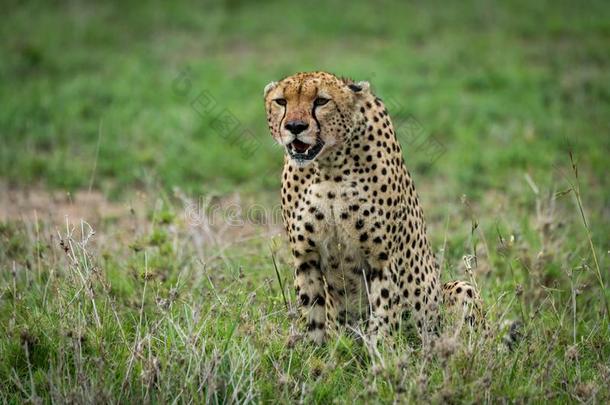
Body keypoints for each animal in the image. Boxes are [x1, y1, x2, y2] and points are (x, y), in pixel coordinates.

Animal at [264, 71, 482, 342]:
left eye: (321, 101)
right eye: (281, 101)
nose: (295, 127)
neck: (328, 166)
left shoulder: (382, 259)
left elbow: (383, 315)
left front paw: (380, 351)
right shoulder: (306, 257)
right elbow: (312, 313)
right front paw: (314, 351)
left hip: (458, 291)